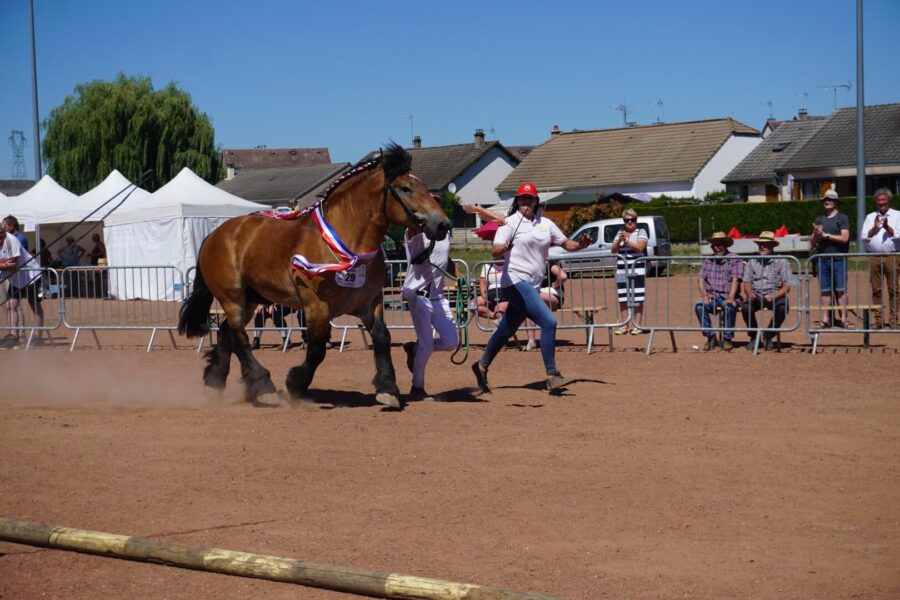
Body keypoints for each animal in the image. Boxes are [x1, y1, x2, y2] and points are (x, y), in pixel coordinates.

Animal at [178, 145, 450, 408]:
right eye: (405, 188)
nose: (443, 224)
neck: (345, 246)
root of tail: (215, 235)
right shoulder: (316, 306)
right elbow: (317, 348)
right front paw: (295, 384)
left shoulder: (370, 303)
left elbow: (382, 338)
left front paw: (388, 389)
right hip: (231, 297)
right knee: (240, 338)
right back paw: (264, 387)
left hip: (250, 299)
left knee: (227, 333)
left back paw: (214, 383)